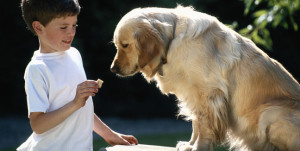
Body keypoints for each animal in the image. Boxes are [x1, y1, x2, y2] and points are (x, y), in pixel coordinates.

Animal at [109, 5, 300, 151]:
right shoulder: (192, 93)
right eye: (117, 45)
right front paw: (190, 144)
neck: (172, 40)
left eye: (125, 45)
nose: (113, 69)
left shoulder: (208, 93)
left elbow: (204, 126)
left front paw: (198, 147)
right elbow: (196, 123)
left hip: (270, 113)